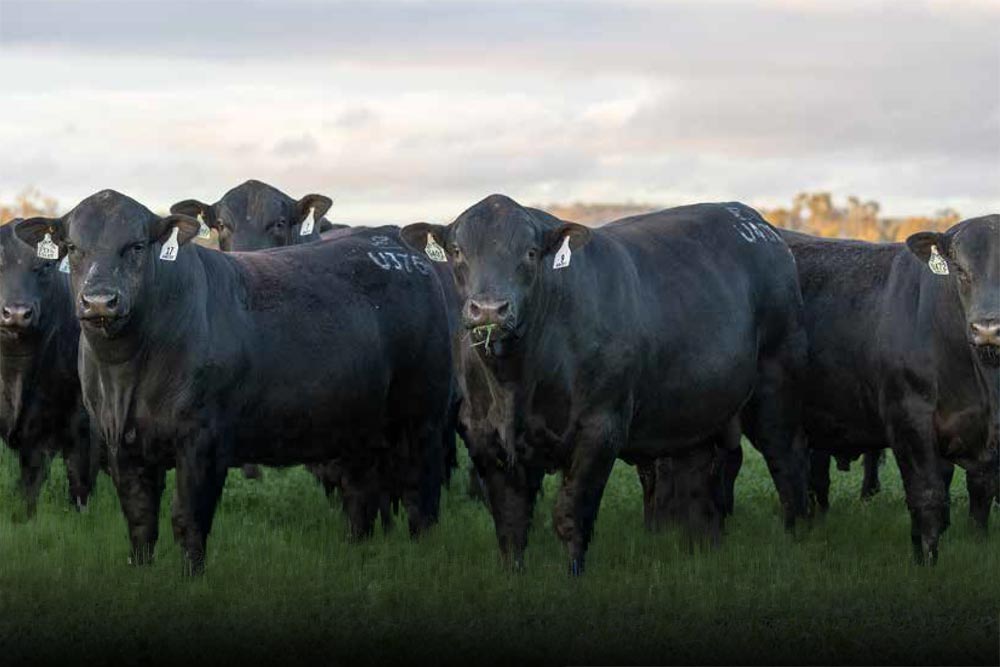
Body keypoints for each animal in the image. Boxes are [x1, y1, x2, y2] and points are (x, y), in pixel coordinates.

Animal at [15, 190, 453, 574]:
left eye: (137, 246)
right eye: (72, 247)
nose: (100, 301)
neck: (127, 373)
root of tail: (391, 245)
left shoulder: (202, 439)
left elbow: (188, 519)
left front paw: (191, 579)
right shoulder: (118, 439)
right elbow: (140, 521)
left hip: (422, 420)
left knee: (422, 496)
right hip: (356, 426)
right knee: (361, 496)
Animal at [401, 195, 811, 575]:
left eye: (531, 253)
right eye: (457, 251)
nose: (489, 310)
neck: (514, 382)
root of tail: (754, 222)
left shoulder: (601, 428)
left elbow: (571, 513)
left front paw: (574, 576)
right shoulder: (482, 435)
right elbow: (510, 521)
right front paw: (513, 576)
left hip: (773, 385)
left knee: (785, 462)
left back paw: (794, 538)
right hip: (696, 411)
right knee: (704, 474)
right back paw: (704, 545)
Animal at [781, 215, 999, 563]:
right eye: (959, 269)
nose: (988, 328)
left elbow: (980, 497)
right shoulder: (908, 421)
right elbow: (927, 497)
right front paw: (926, 562)